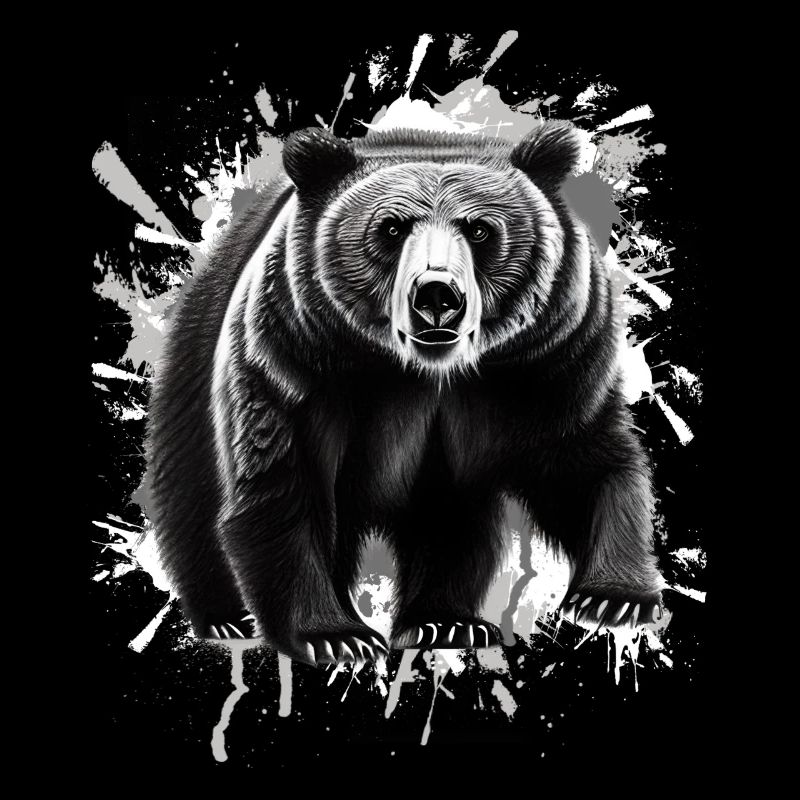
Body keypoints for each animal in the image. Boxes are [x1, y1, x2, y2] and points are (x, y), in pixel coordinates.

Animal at [145, 122, 665, 668]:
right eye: (392, 229)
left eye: (480, 229)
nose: (437, 295)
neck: (423, 373)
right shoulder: (294, 358)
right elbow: (283, 480)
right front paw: (335, 634)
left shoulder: (551, 362)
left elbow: (584, 462)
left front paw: (614, 597)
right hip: (194, 365)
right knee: (190, 495)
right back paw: (223, 616)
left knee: (453, 517)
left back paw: (445, 621)